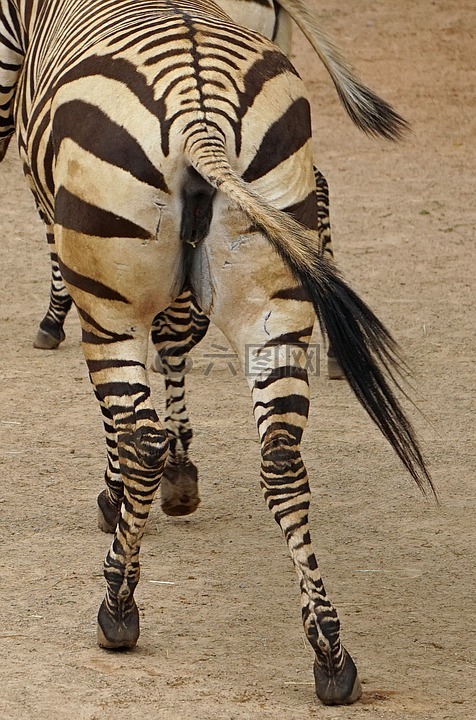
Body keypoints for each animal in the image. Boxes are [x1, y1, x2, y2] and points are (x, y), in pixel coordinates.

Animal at [0, 0, 434, 704]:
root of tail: (199, 118)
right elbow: (175, 341)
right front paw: (180, 475)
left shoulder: (60, 213)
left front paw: (120, 494)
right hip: (270, 285)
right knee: (281, 458)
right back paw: (331, 654)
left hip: (116, 300)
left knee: (143, 438)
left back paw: (119, 605)